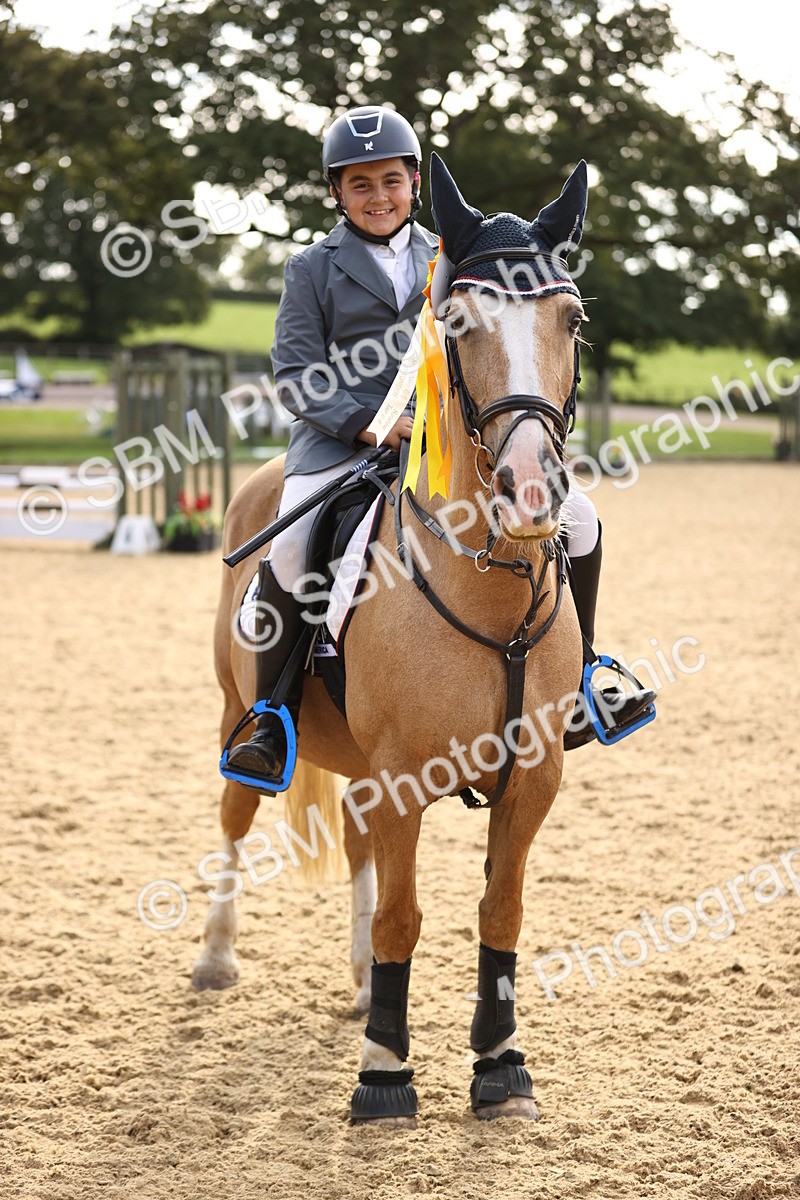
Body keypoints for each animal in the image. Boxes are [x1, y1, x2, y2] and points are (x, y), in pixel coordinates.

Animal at [192, 151, 589, 1124]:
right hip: (236, 715)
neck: (488, 592)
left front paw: (501, 1067)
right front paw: (383, 1074)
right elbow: (405, 918)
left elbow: (499, 911)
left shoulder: (533, 778)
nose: (532, 489)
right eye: (457, 322)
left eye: (571, 319)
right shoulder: (404, 775)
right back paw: (217, 957)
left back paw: (366, 982)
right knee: (234, 818)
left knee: (359, 849)